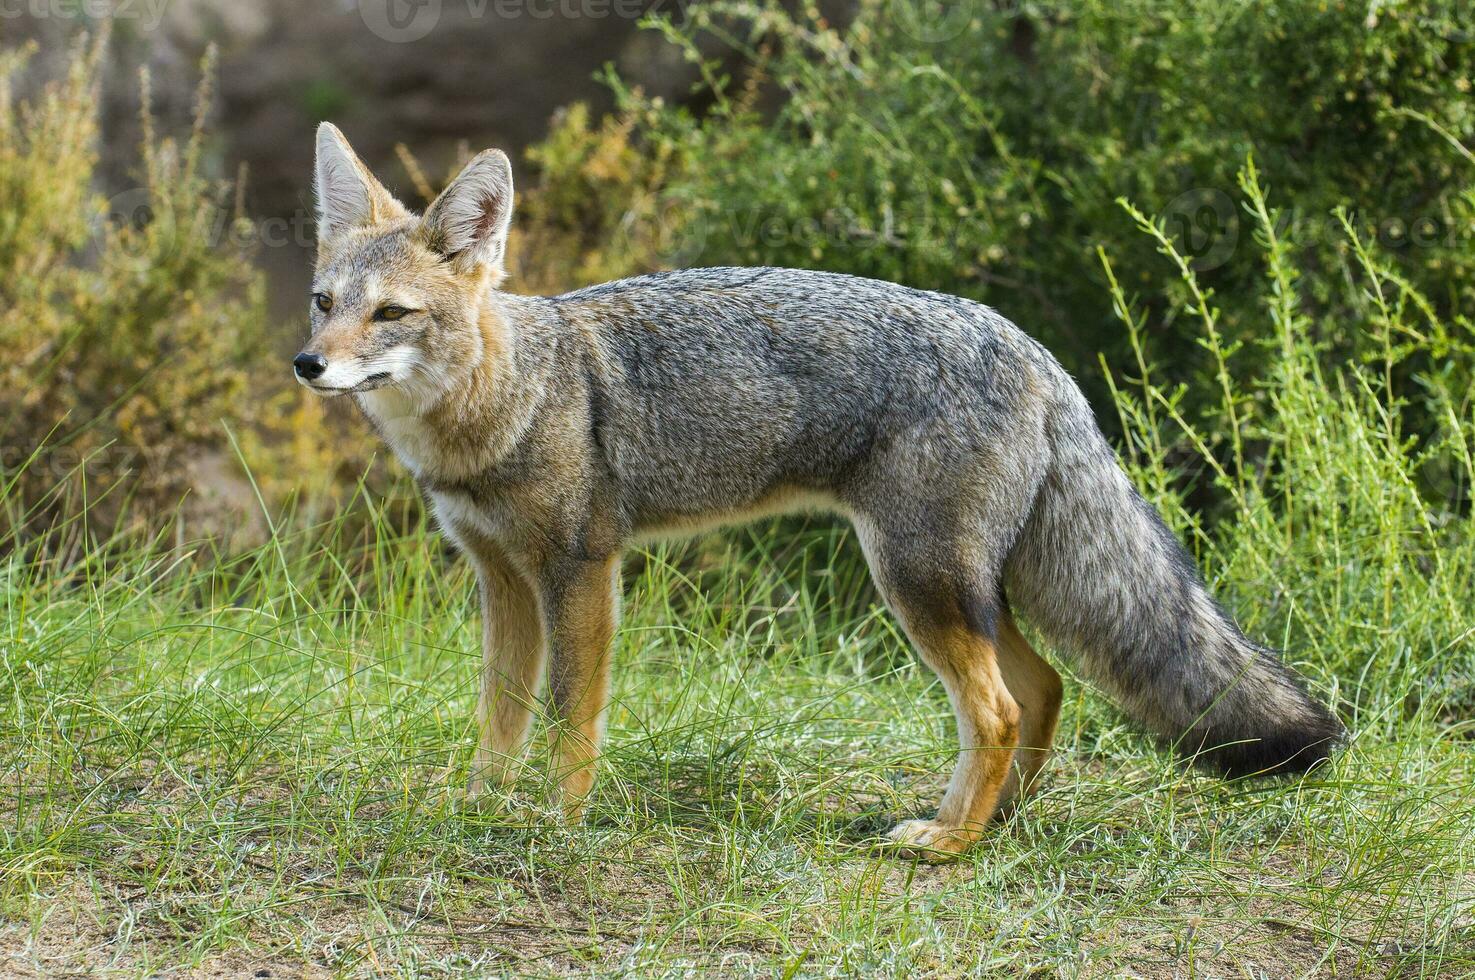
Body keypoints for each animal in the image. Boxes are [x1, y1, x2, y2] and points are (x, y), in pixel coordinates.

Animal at [293, 126, 1345, 861]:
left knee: (1000, 709)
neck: (504, 403)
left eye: (391, 315)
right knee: (1040, 690)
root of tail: (1032, 348)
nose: (308, 365)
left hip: (917, 582)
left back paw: (949, 844)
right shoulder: (502, 578)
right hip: (959, 587)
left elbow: (568, 714)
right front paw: (478, 803)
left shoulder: (581, 569)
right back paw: (996, 822)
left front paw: (556, 819)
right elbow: (501, 711)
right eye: (324, 303)